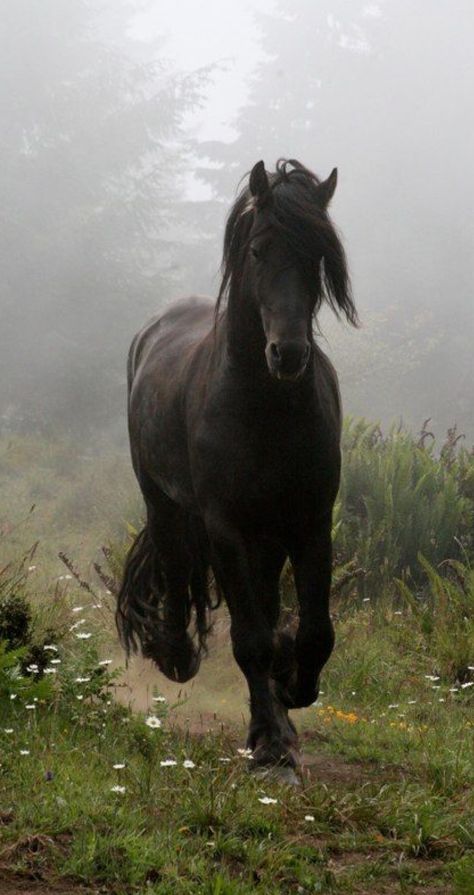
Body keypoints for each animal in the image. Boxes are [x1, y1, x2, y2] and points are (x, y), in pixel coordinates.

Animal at [116, 161, 358, 768]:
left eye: (319, 254)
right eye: (258, 250)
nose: (287, 354)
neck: (264, 408)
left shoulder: (310, 522)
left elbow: (313, 633)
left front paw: (290, 692)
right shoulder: (225, 528)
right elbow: (250, 640)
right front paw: (271, 748)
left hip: (267, 537)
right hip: (165, 502)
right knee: (175, 564)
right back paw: (175, 651)